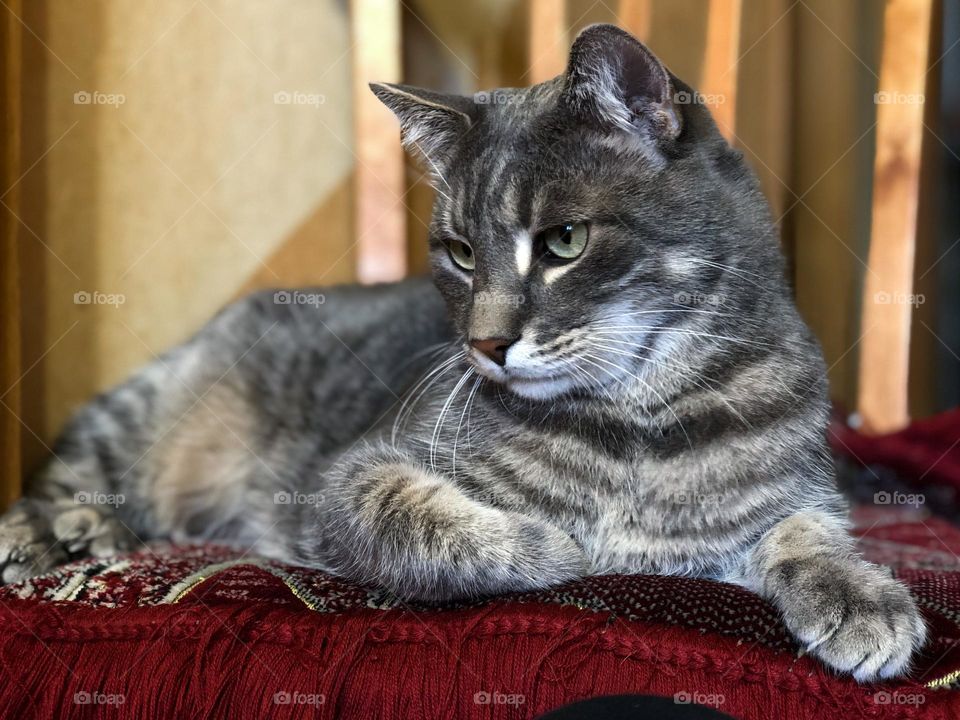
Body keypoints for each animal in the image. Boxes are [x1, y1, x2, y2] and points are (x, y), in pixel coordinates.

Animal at [0, 25, 924, 684]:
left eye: (563, 241)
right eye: (459, 253)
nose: (486, 343)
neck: (636, 421)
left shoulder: (795, 490)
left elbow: (810, 532)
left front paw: (861, 595)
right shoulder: (353, 476)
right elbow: (429, 522)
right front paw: (559, 546)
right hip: (149, 415)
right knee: (74, 475)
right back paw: (62, 530)